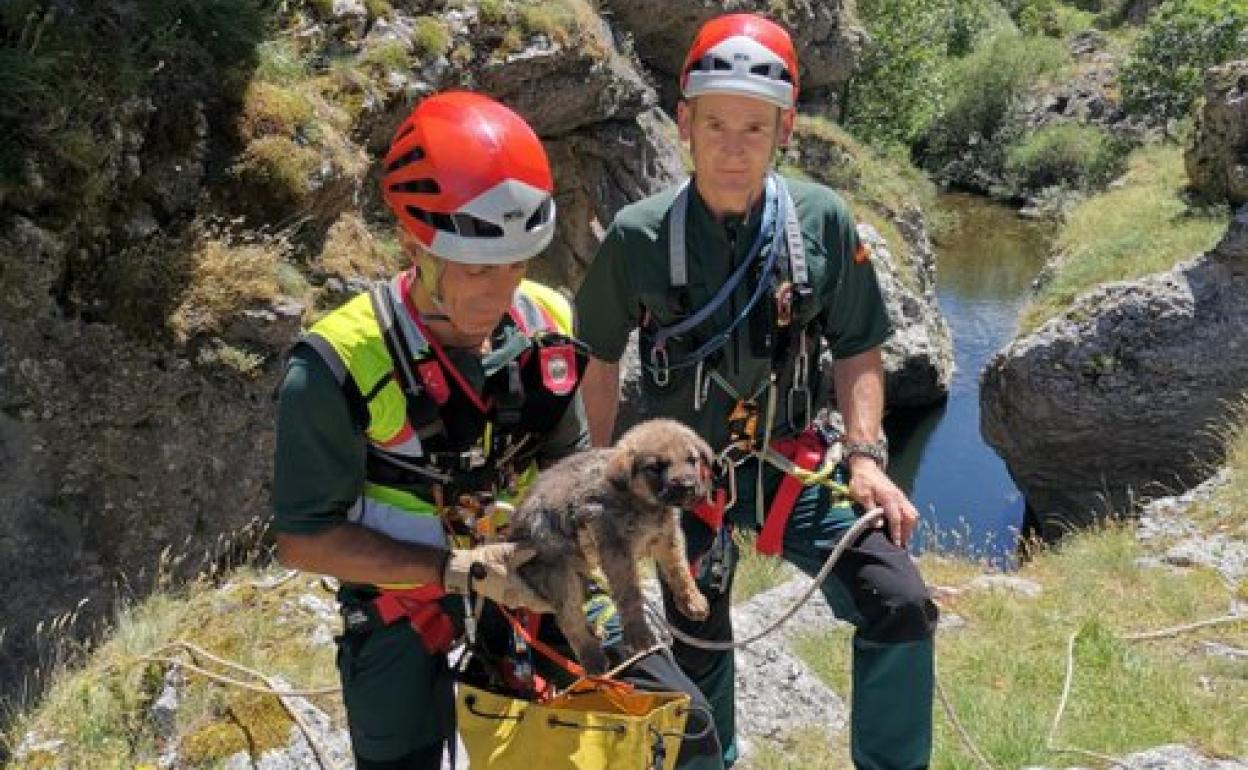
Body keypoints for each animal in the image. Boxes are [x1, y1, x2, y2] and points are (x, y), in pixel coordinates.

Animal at [509, 416, 713, 668]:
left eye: (692, 460)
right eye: (655, 467)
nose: (688, 487)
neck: (645, 505)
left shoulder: (668, 538)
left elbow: (679, 571)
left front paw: (692, 600)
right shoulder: (616, 549)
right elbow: (630, 594)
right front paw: (639, 634)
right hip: (559, 575)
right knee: (569, 618)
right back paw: (593, 658)